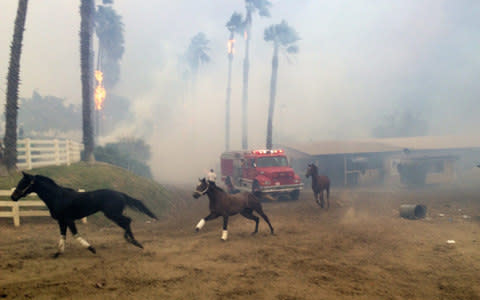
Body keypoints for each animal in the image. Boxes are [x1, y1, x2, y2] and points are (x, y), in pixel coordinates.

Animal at [10, 172, 158, 256]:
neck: (57, 197)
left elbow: (75, 235)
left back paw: (134, 242)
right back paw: (131, 240)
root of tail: (121, 194)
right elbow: (62, 236)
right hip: (113, 214)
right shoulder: (61, 221)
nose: (13, 197)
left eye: (24, 183)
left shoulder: (69, 219)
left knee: (127, 221)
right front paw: (58, 253)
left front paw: (92, 249)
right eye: (19, 182)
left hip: (112, 214)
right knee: (126, 222)